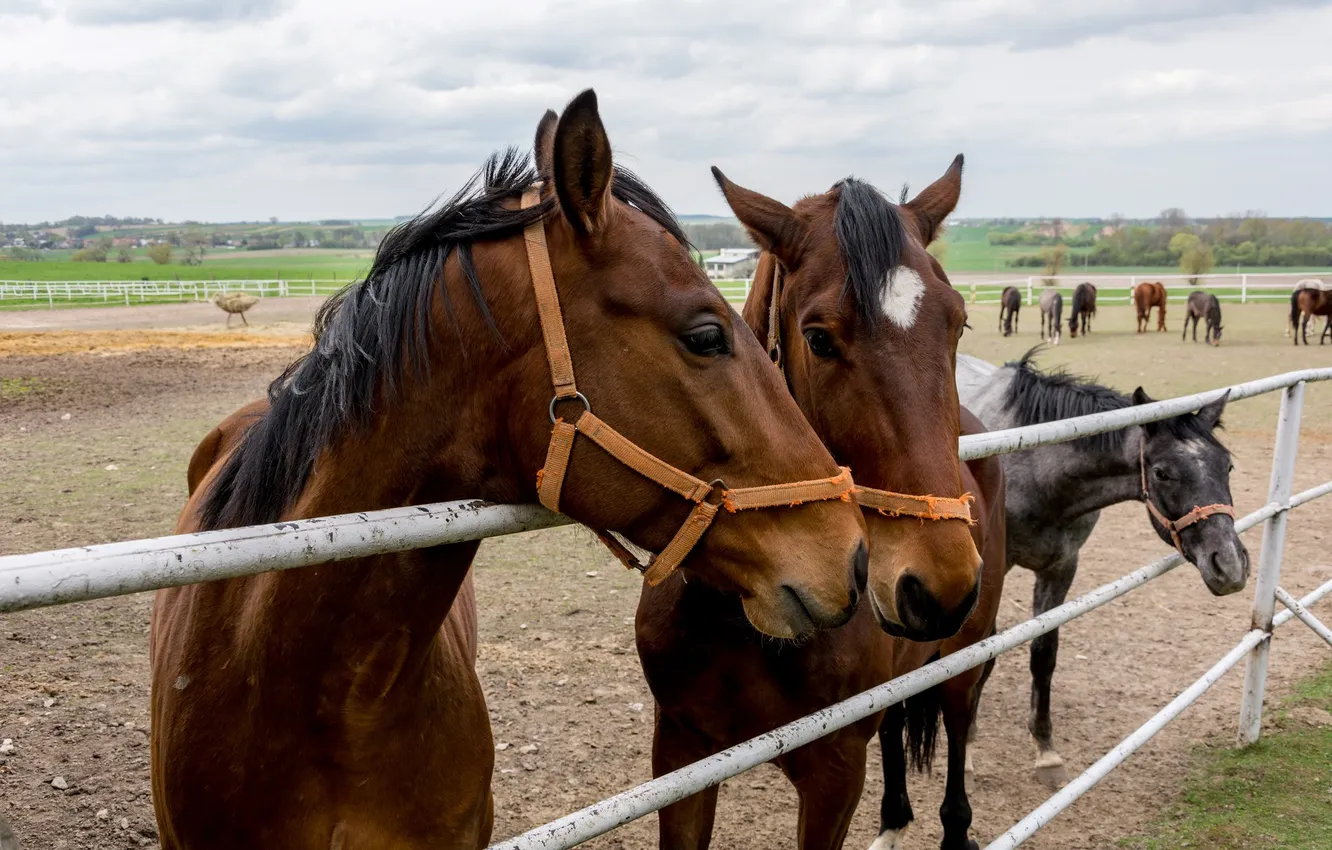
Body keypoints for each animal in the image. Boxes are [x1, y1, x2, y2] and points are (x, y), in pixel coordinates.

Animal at [638, 158, 1002, 850]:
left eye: (959, 323)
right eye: (818, 339)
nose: (939, 583)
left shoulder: (834, 772)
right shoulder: (682, 756)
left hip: (964, 664)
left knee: (959, 740)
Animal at [956, 349, 1247, 789]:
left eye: (1226, 466)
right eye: (1162, 472)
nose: (1228, 565)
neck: (1032, 464)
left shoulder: (1061, 567)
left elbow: (1044, 653)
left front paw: (1045, 751)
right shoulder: (992, 573)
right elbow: (984, 655)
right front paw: (968, 749)